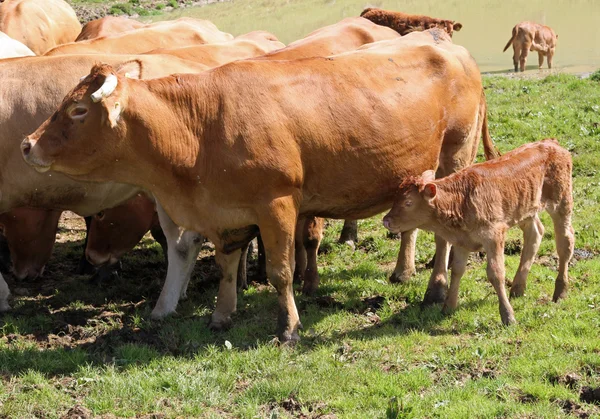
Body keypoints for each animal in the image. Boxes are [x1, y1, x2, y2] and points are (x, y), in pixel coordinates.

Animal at [23, 30, 500, 344]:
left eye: (79, 110)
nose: (27, 144)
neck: (200, 128)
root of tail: (442, 40)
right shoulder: (226, 213)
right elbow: (226, 266)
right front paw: (221, 315)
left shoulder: (277, 204)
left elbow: (280, 271)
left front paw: (288, 326)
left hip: (454, 156)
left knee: (444, 236)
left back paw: (434, 288)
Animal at [382, 139, 576, 326]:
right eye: (395, 198)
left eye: (408, 202)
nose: (386, 220)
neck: (461, 199)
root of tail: (552, 143)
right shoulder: (461, 241)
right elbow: (457, 270)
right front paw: (448, 307)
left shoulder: (494, 235)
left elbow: (496, 273)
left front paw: (508, 316)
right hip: (526, 210)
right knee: (535, 233)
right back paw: (518, 288)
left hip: (562, 202)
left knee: (565, 242)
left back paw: (560, 292)